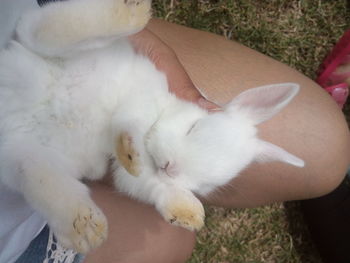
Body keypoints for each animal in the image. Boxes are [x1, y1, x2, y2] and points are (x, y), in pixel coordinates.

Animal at [0, 0, 304, 256]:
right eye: (194, 127)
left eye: (209, 182)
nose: (170, 167)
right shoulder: (143, 98)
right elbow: (131, 121)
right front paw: (130, 150)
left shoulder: (130, 175)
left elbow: (146, 184)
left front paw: (188, 212)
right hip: (51, 49)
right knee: (41, 30)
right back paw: (130, 12)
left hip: (24, 157)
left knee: (45, 182)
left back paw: (86, 229)